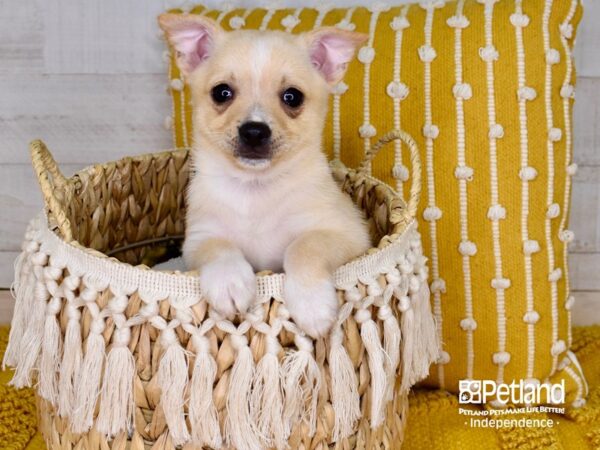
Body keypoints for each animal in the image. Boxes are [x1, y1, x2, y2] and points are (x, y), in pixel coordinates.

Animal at [159, 13, 370, 338]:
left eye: (292, 97)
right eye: (222, 92)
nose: (254, 131)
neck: (255, 188)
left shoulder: (348, 234)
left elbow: (303, 246)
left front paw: (312, 304)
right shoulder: (199, 239)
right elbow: (219, 247)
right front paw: (229, 283)